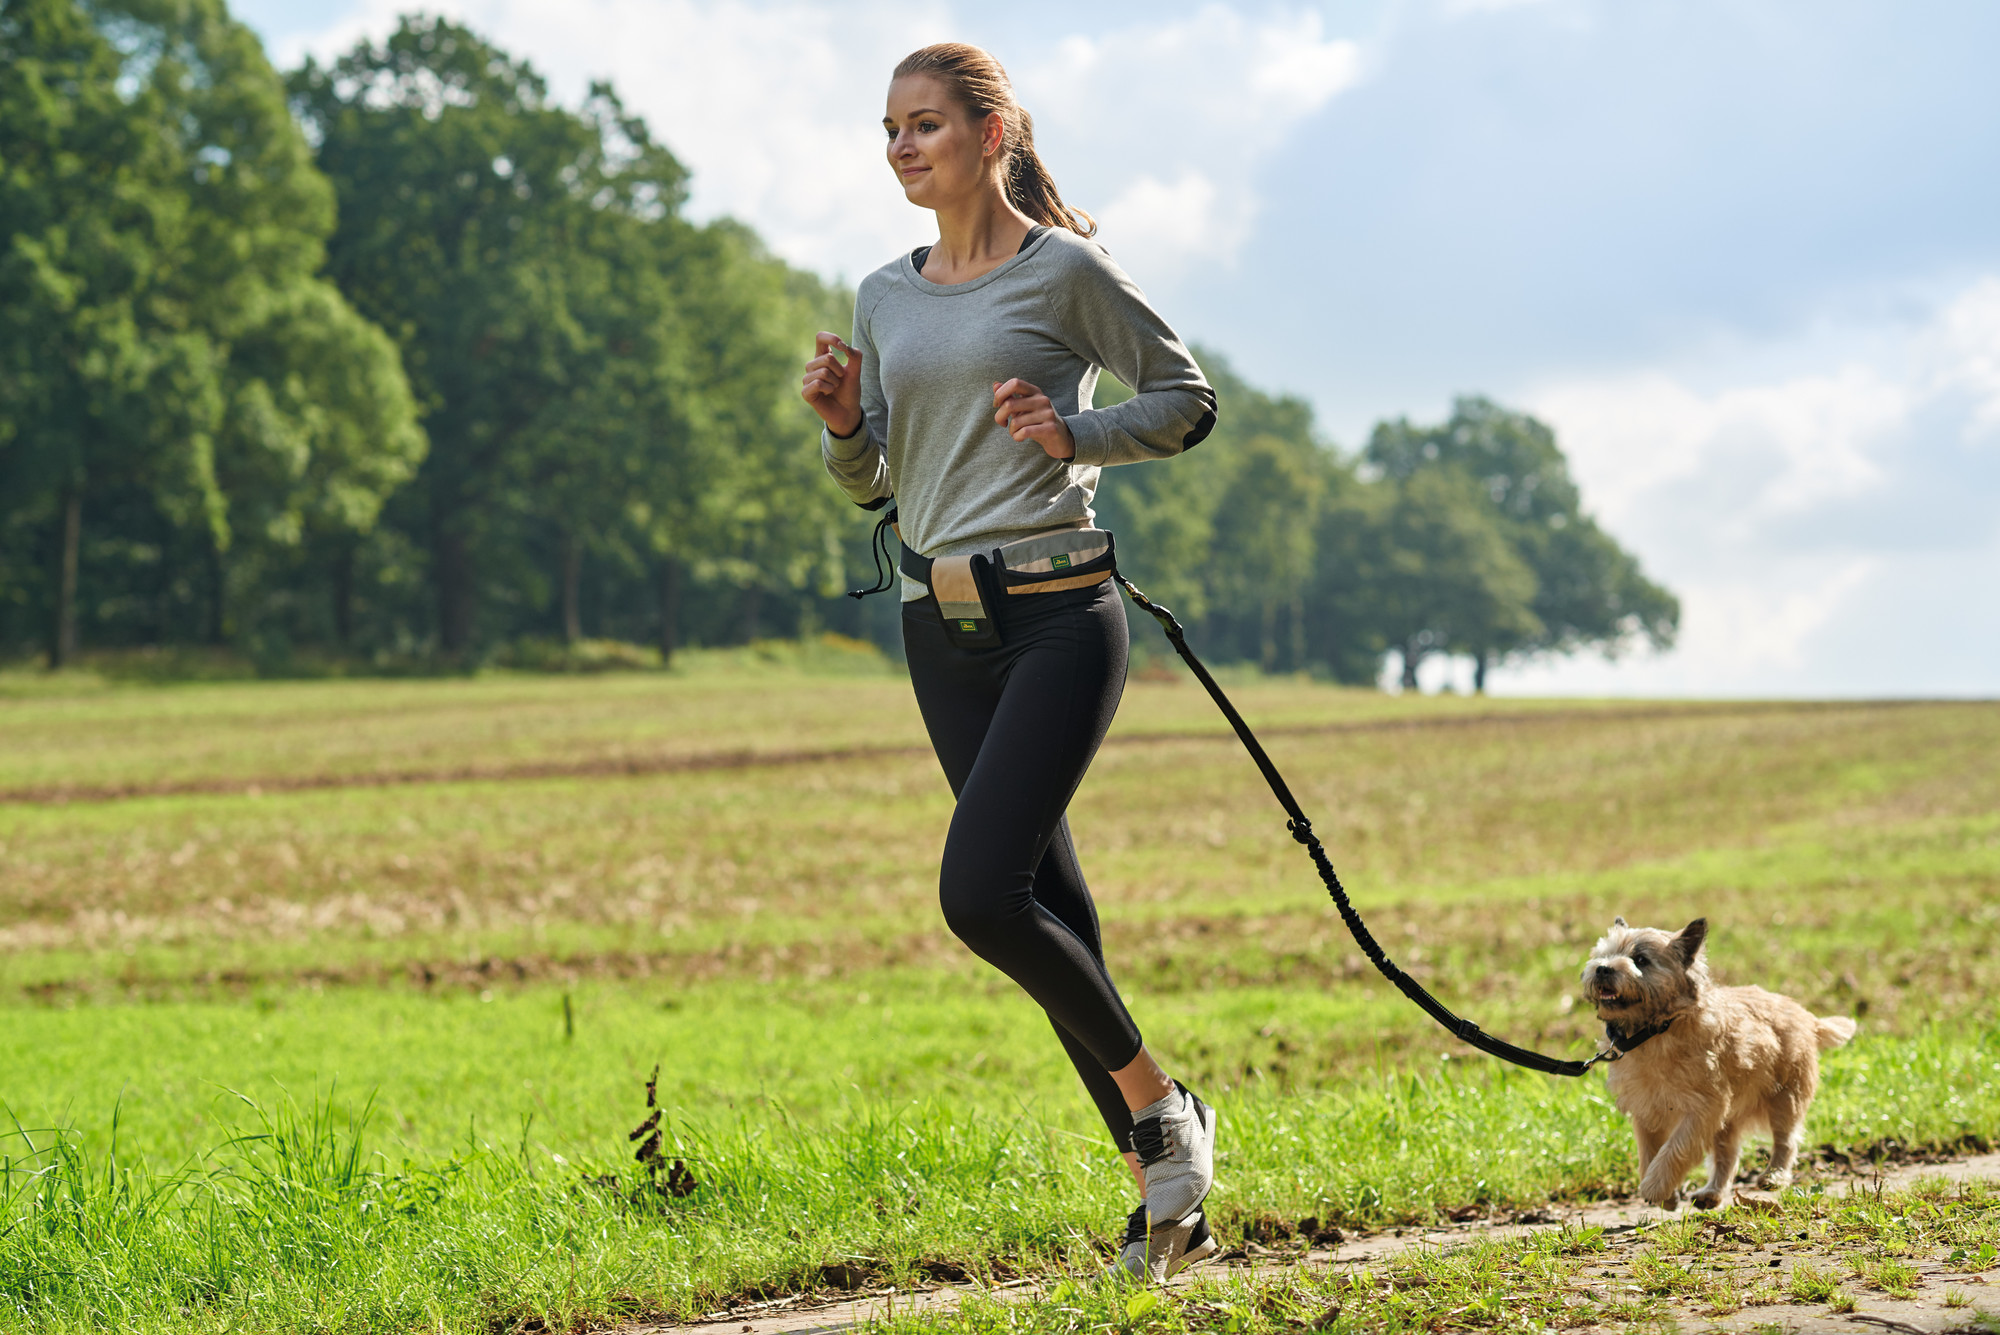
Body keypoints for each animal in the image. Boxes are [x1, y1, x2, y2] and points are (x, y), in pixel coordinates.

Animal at [1584, 919, 1848, 1207]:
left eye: (1641, 960)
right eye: (1604, 954)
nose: (1602, 968)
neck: (1655, 1030)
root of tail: (1807, 1016)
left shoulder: (1703, 1110)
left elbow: (1675, 1148)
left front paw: (1655, 1186)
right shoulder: (1647, 1110)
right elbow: (1649, 1152)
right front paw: (1665, 1194)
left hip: (1785, 1100)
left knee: (1786, 1141)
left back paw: (1774, 1176)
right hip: (1730, 1120)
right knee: (1728, 1155)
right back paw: (1712, 1193)